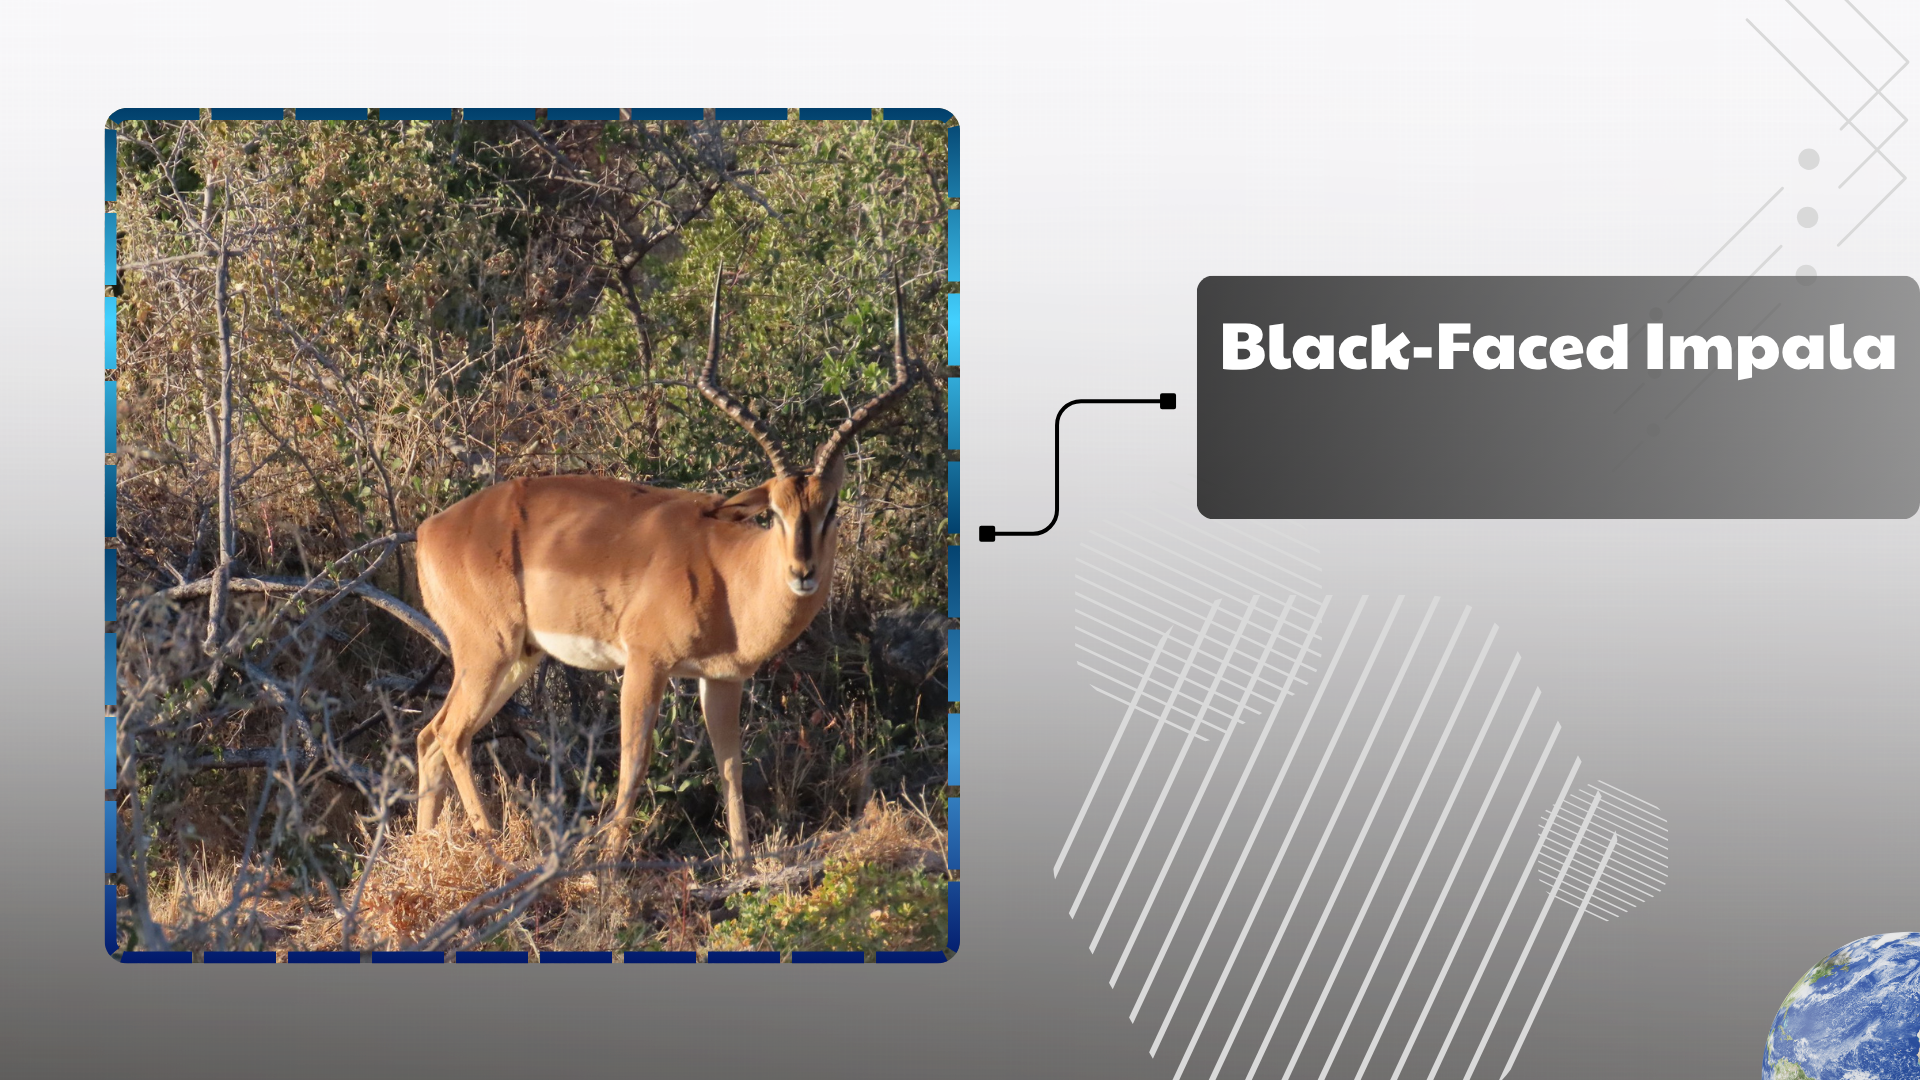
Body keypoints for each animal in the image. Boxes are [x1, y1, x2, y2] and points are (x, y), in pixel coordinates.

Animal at [411, 265, 916, 854]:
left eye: (831, 508)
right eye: (774, 511)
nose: (802, 573)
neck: (729, 575)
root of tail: (430, 530)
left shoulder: (723, 679)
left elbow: (730, 767)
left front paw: (744, 863)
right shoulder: (644, 663)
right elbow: (634, 763)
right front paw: (607, 864)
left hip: (518, 657)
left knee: (429, 736)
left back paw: (423, 850)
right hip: (488, 650)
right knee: (452, 735)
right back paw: (494, 847)